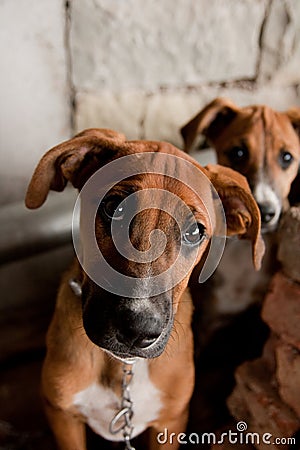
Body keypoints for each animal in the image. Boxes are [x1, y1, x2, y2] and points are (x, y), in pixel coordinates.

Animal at [25, 127, 262, 450]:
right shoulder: (63, 418)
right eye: (113, 208)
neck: (122, 367)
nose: (138, 330)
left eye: (195, 231)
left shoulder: (170, 423)